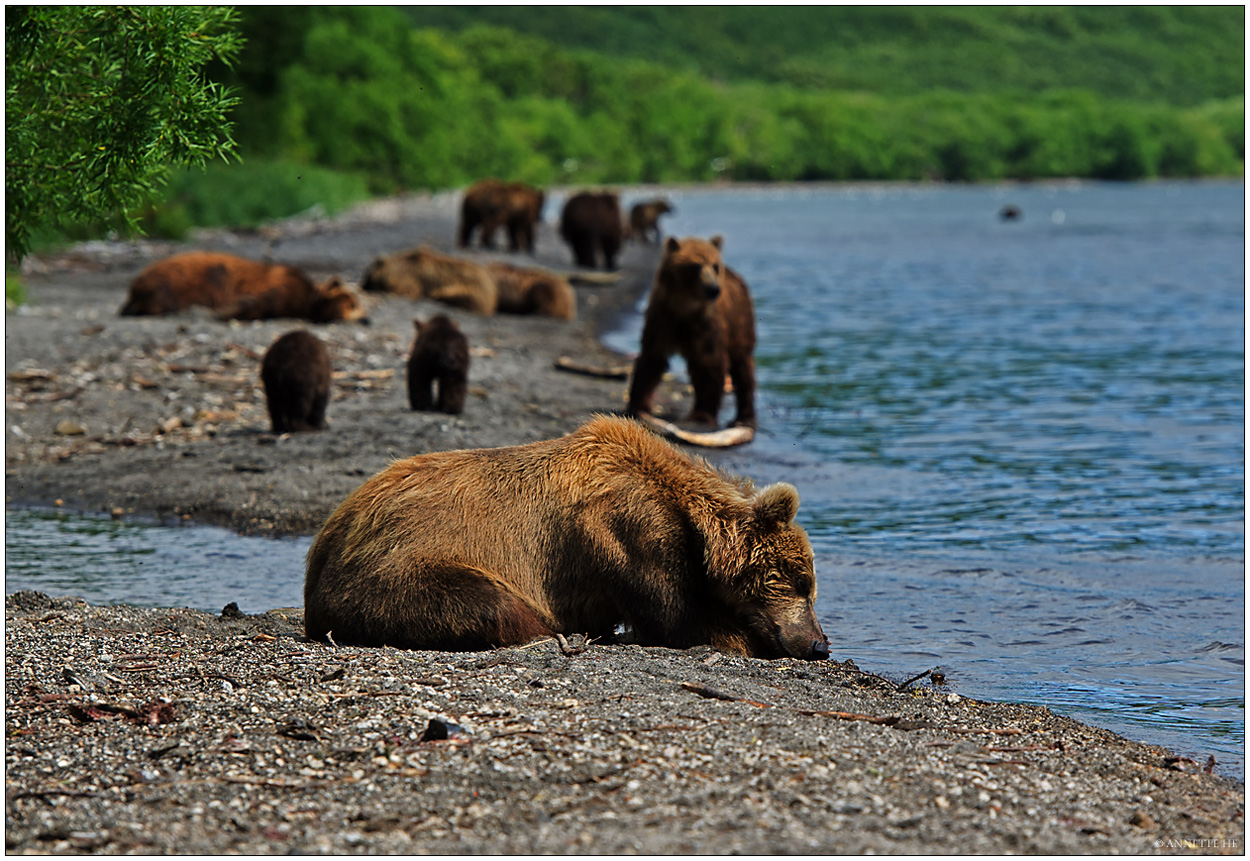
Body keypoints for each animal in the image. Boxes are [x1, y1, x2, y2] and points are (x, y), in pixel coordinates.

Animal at [119, 254, 367, 324]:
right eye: (353, 304)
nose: (367, 318)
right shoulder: (284, 287)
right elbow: (260, 301)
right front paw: (226, 311)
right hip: (176, 280)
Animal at [302, 414, 830, 659]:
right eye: (802, 582)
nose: (819, 643)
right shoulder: (628, 531)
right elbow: (678, 616)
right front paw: (743, 637)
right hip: (398, 568)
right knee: (492, 604)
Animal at [630, 234, 755, 429]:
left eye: (714, 265)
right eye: (696, 265)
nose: (713, 289)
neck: (685, 307)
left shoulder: (706, 325)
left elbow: (709, 362)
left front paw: (702, 414)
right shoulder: (662, 319)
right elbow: (651, 359)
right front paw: (637, 405)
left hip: (739, 322)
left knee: (742, 365)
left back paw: (745, 416)